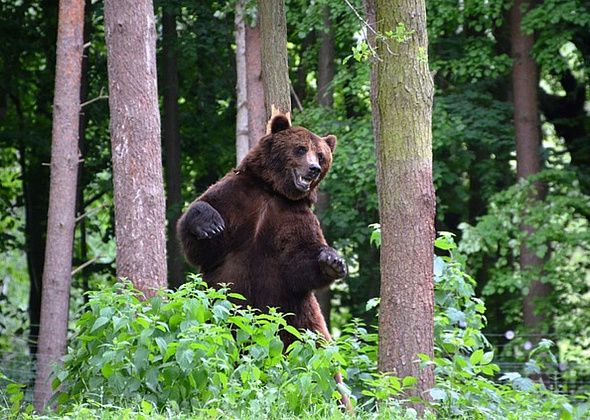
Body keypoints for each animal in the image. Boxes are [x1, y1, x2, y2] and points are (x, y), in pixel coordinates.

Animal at [178, 113, 350, 346]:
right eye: (301, 149)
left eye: (321, 156)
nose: (313, 168)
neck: (273, 191)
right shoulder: (236, 195)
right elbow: (202, 247)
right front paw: (209, 224)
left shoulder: (293, 215)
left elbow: (300, 259)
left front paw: (332, 261)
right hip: (219, 306)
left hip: (295, 314)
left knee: (312, 341)